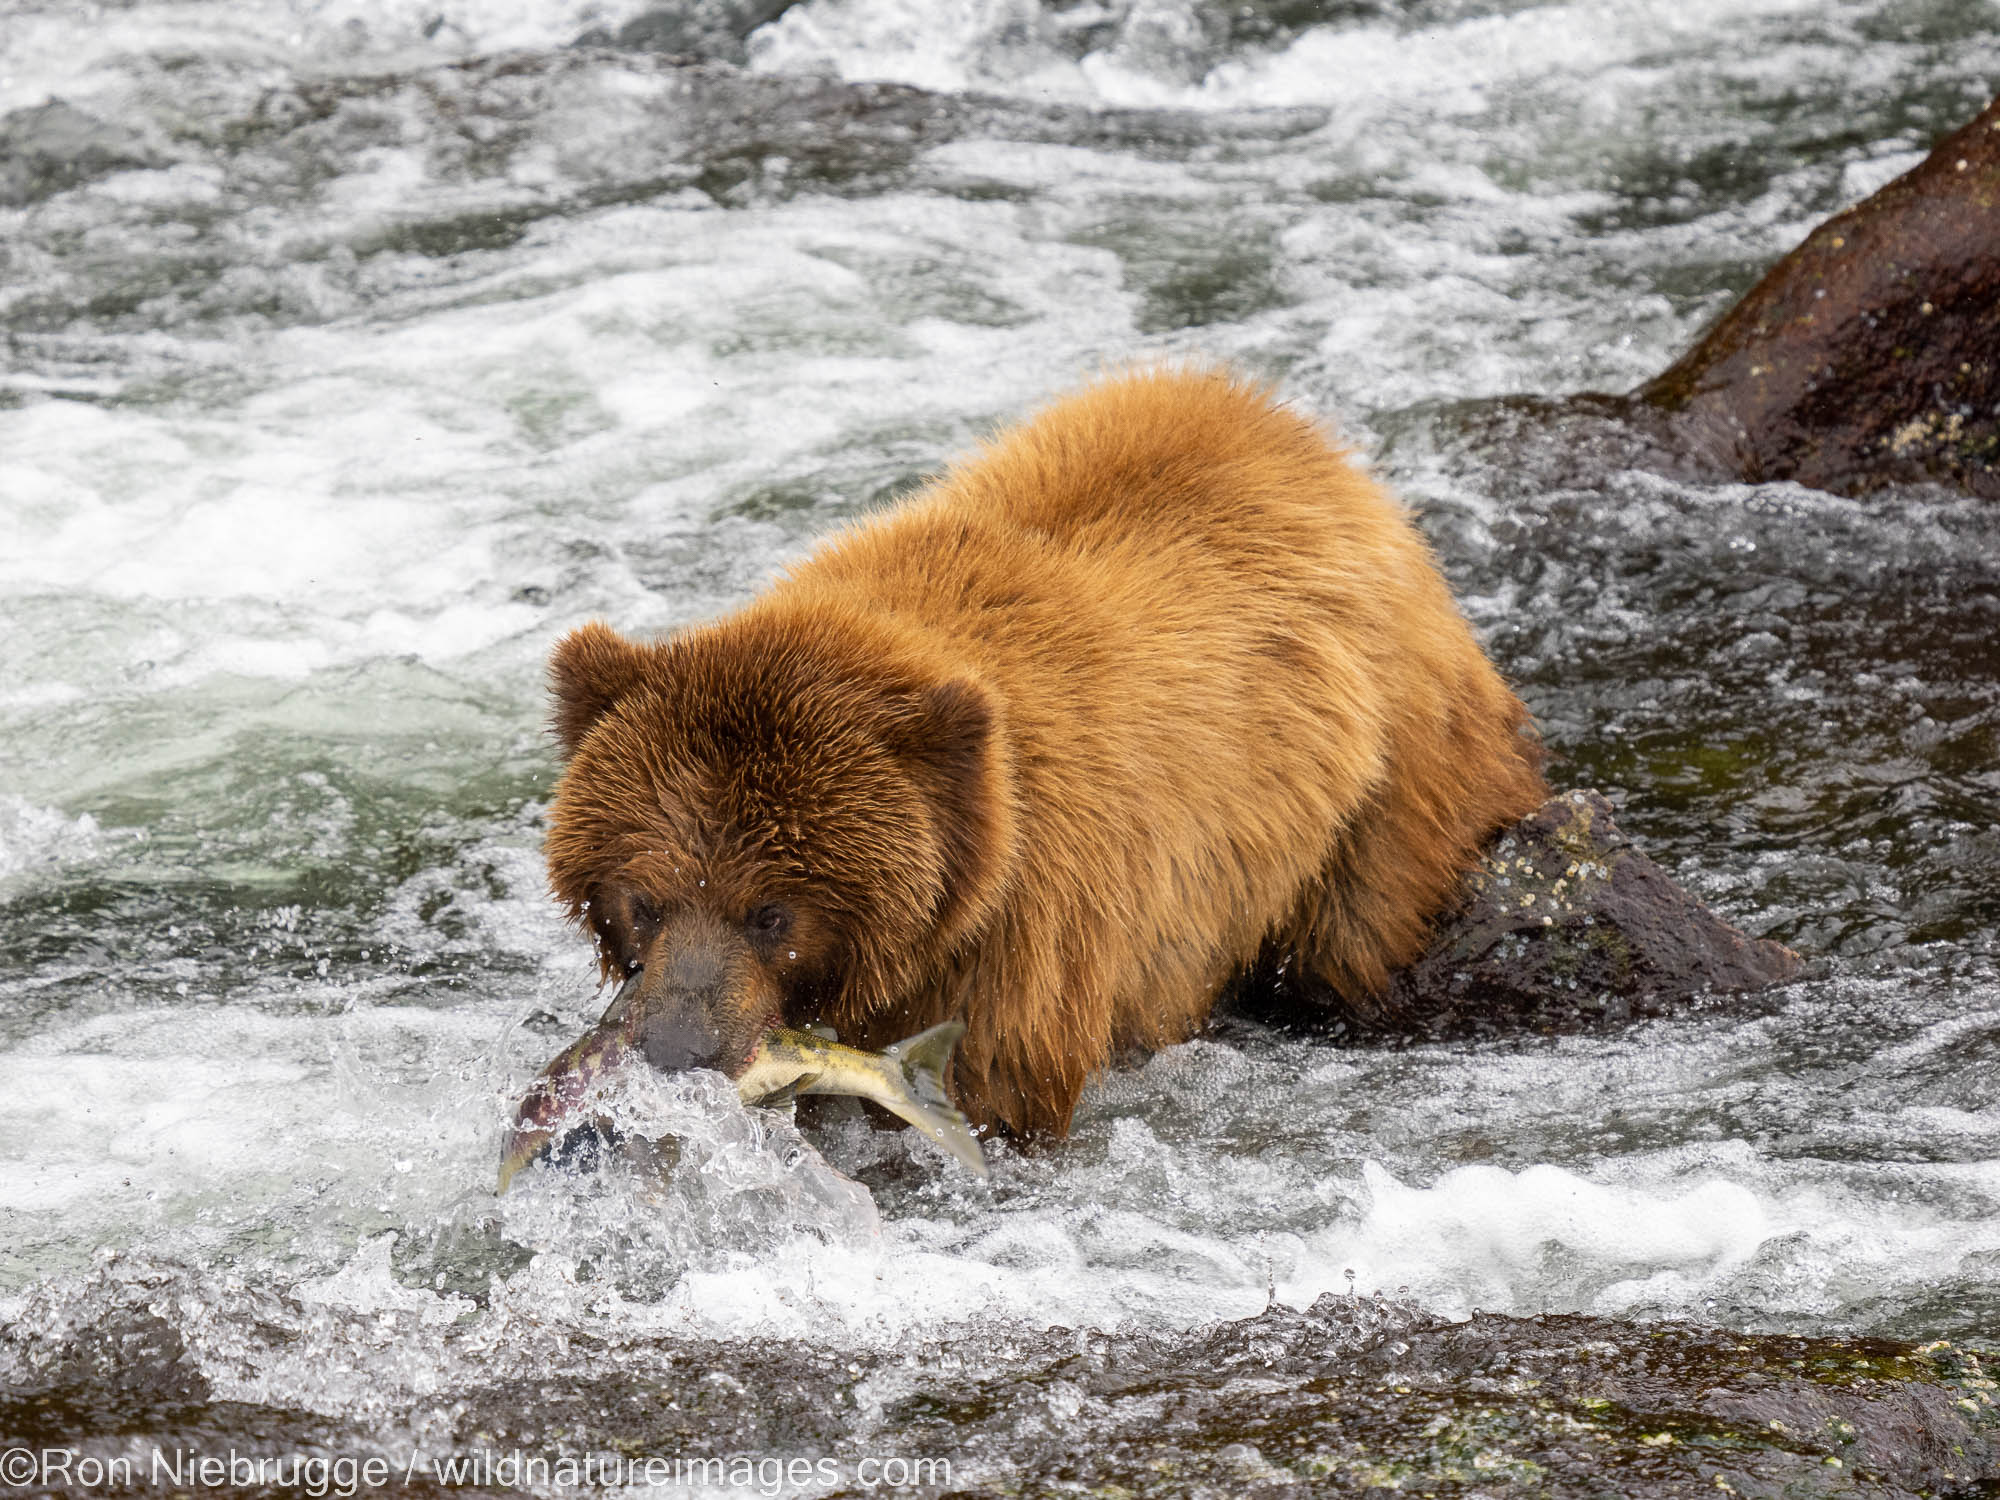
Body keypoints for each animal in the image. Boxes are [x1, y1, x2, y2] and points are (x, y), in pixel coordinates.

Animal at [544, 374, 1544, 1136]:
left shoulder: (1030, 922)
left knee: (1364, 931)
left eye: (771, 912)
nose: (677, 1050)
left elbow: (1000, 1080)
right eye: (644, 898)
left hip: (1383, 779)